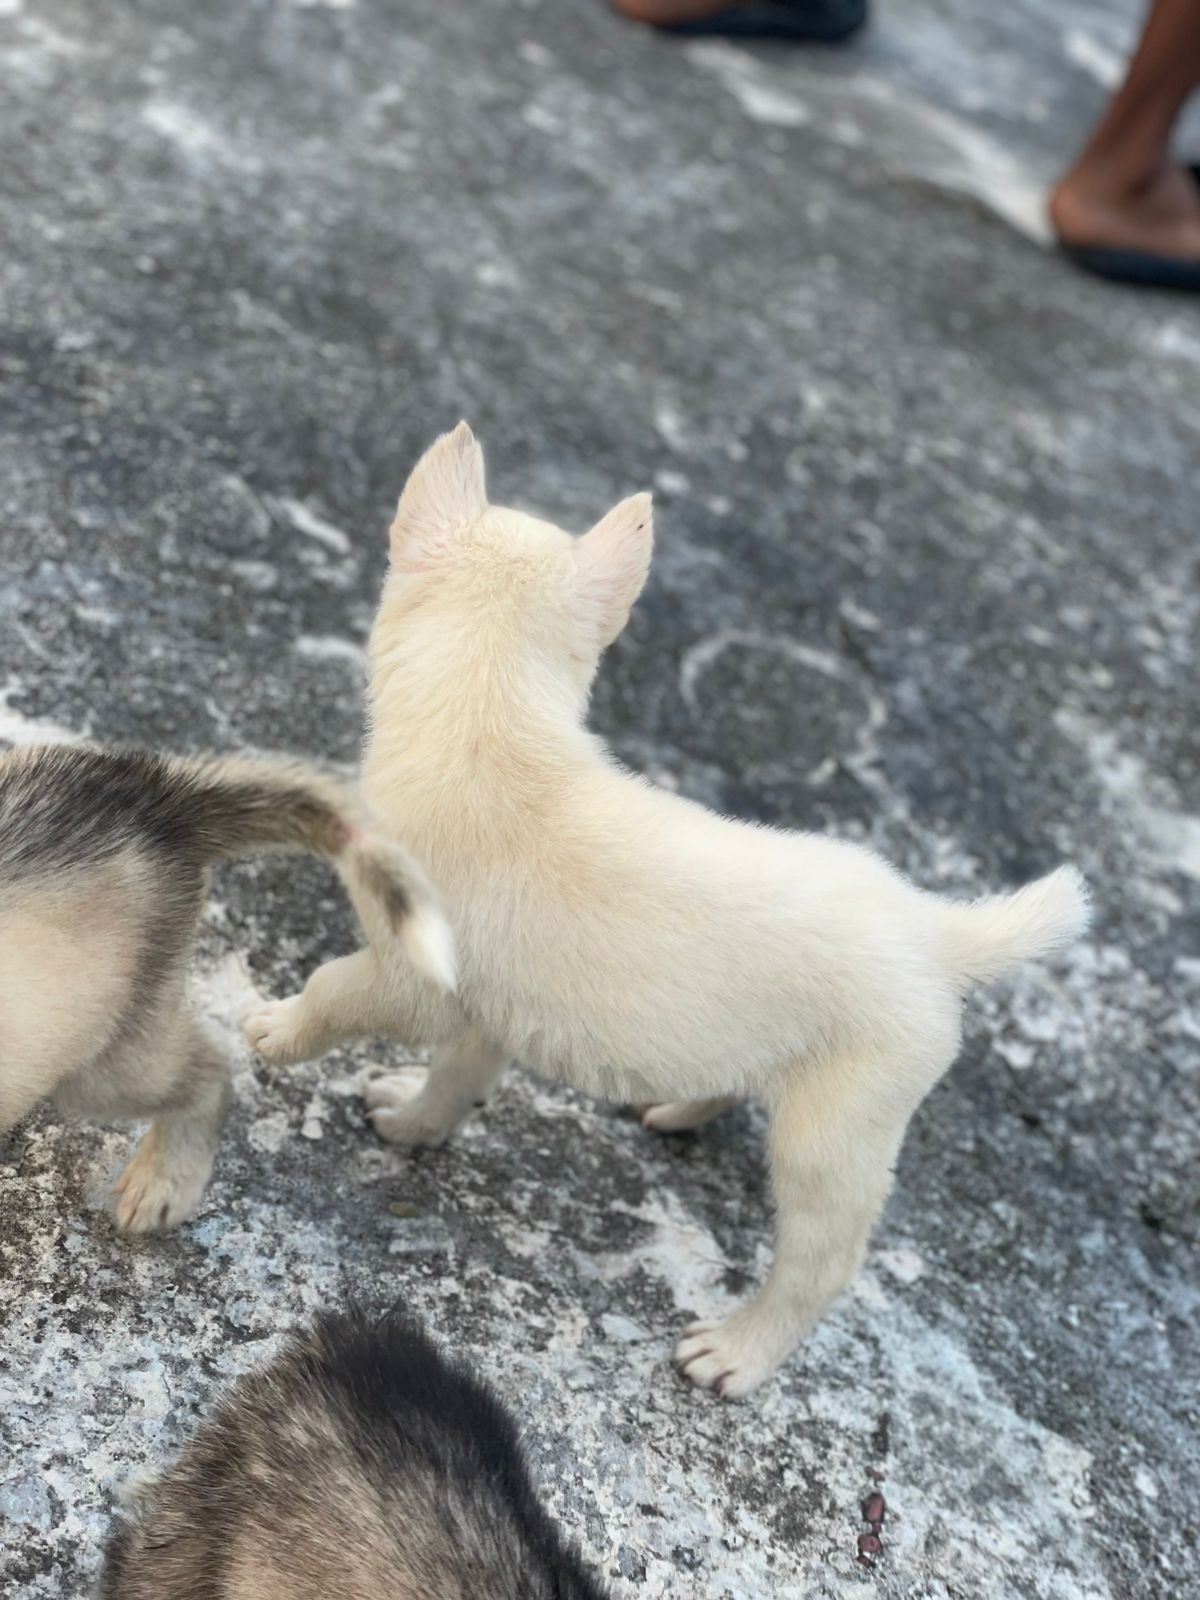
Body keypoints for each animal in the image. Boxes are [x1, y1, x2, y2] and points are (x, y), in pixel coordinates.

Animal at [241, 428, 1088, 1401]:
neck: (494, 716)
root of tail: (937, 932)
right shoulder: (488, 1010)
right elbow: (458, 1075)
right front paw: (413, 1120)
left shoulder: (409, 973)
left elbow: (332, 989)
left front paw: (271, 1028)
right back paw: (680, 1108)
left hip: (834, 1136)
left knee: (821, 1261)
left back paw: (737, 1352)